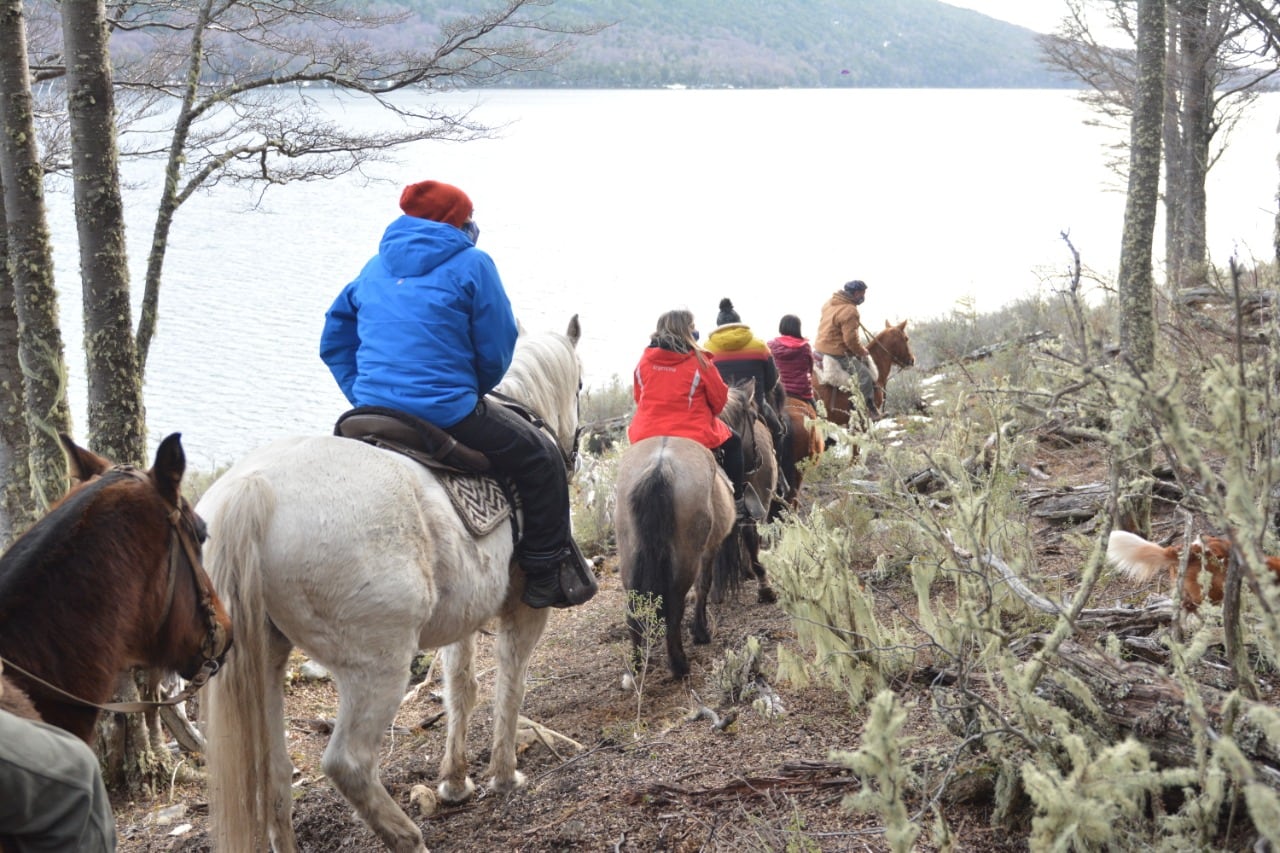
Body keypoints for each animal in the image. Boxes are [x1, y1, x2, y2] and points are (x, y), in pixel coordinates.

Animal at [199, 313, 586, 850]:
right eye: (582, 384)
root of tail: (254, 486)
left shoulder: (462, 618)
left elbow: (460, 687)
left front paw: (454, 781)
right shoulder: (525, 609)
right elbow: (511, 683)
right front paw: (504, 776)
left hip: (268, 660)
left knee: (273, 773)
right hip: (377, 666)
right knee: (349, 764)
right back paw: (408, 837)